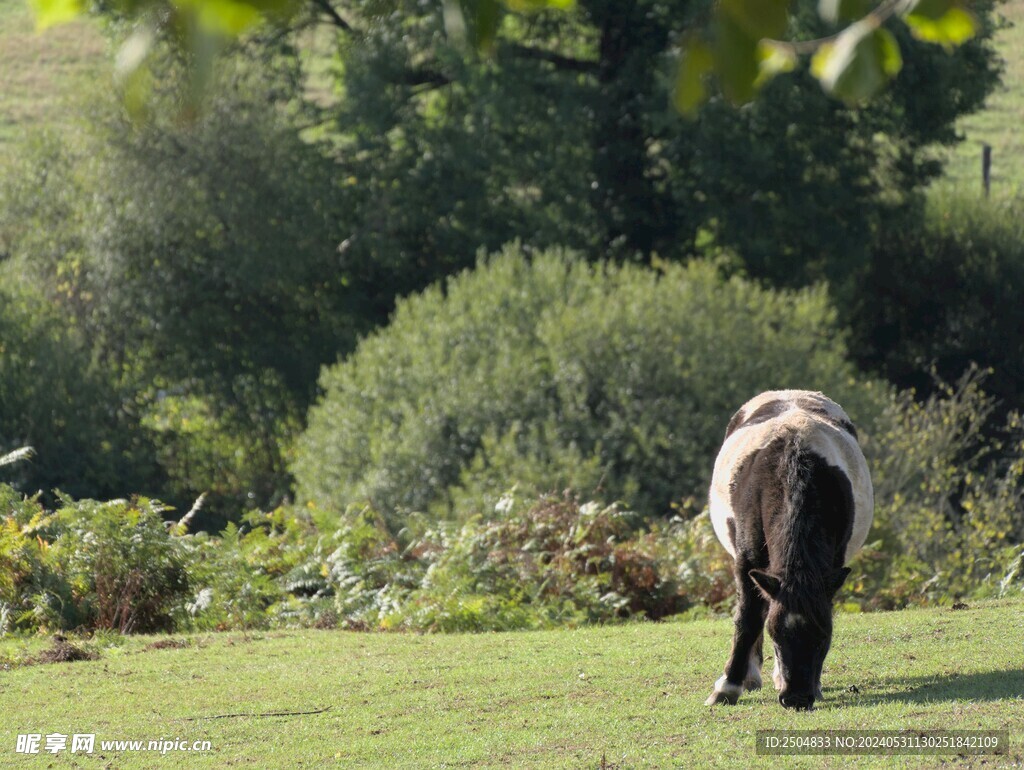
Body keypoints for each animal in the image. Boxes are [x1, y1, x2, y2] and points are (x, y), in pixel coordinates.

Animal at [704, 390, 873, 710]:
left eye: (823, 636)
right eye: (776, 634)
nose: (796, 698)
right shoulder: (746, 563)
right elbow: (747, 618)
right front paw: (728, 686)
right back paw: (751, 676)